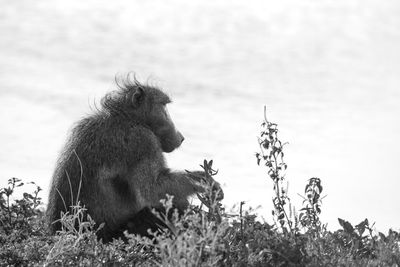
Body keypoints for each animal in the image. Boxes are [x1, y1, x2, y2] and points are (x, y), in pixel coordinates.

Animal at [47, 77, 223, 243]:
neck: (125, 118)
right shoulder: (143, 140)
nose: (181, 137)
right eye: (164, 107)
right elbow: (153, 190)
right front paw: (206, 183)